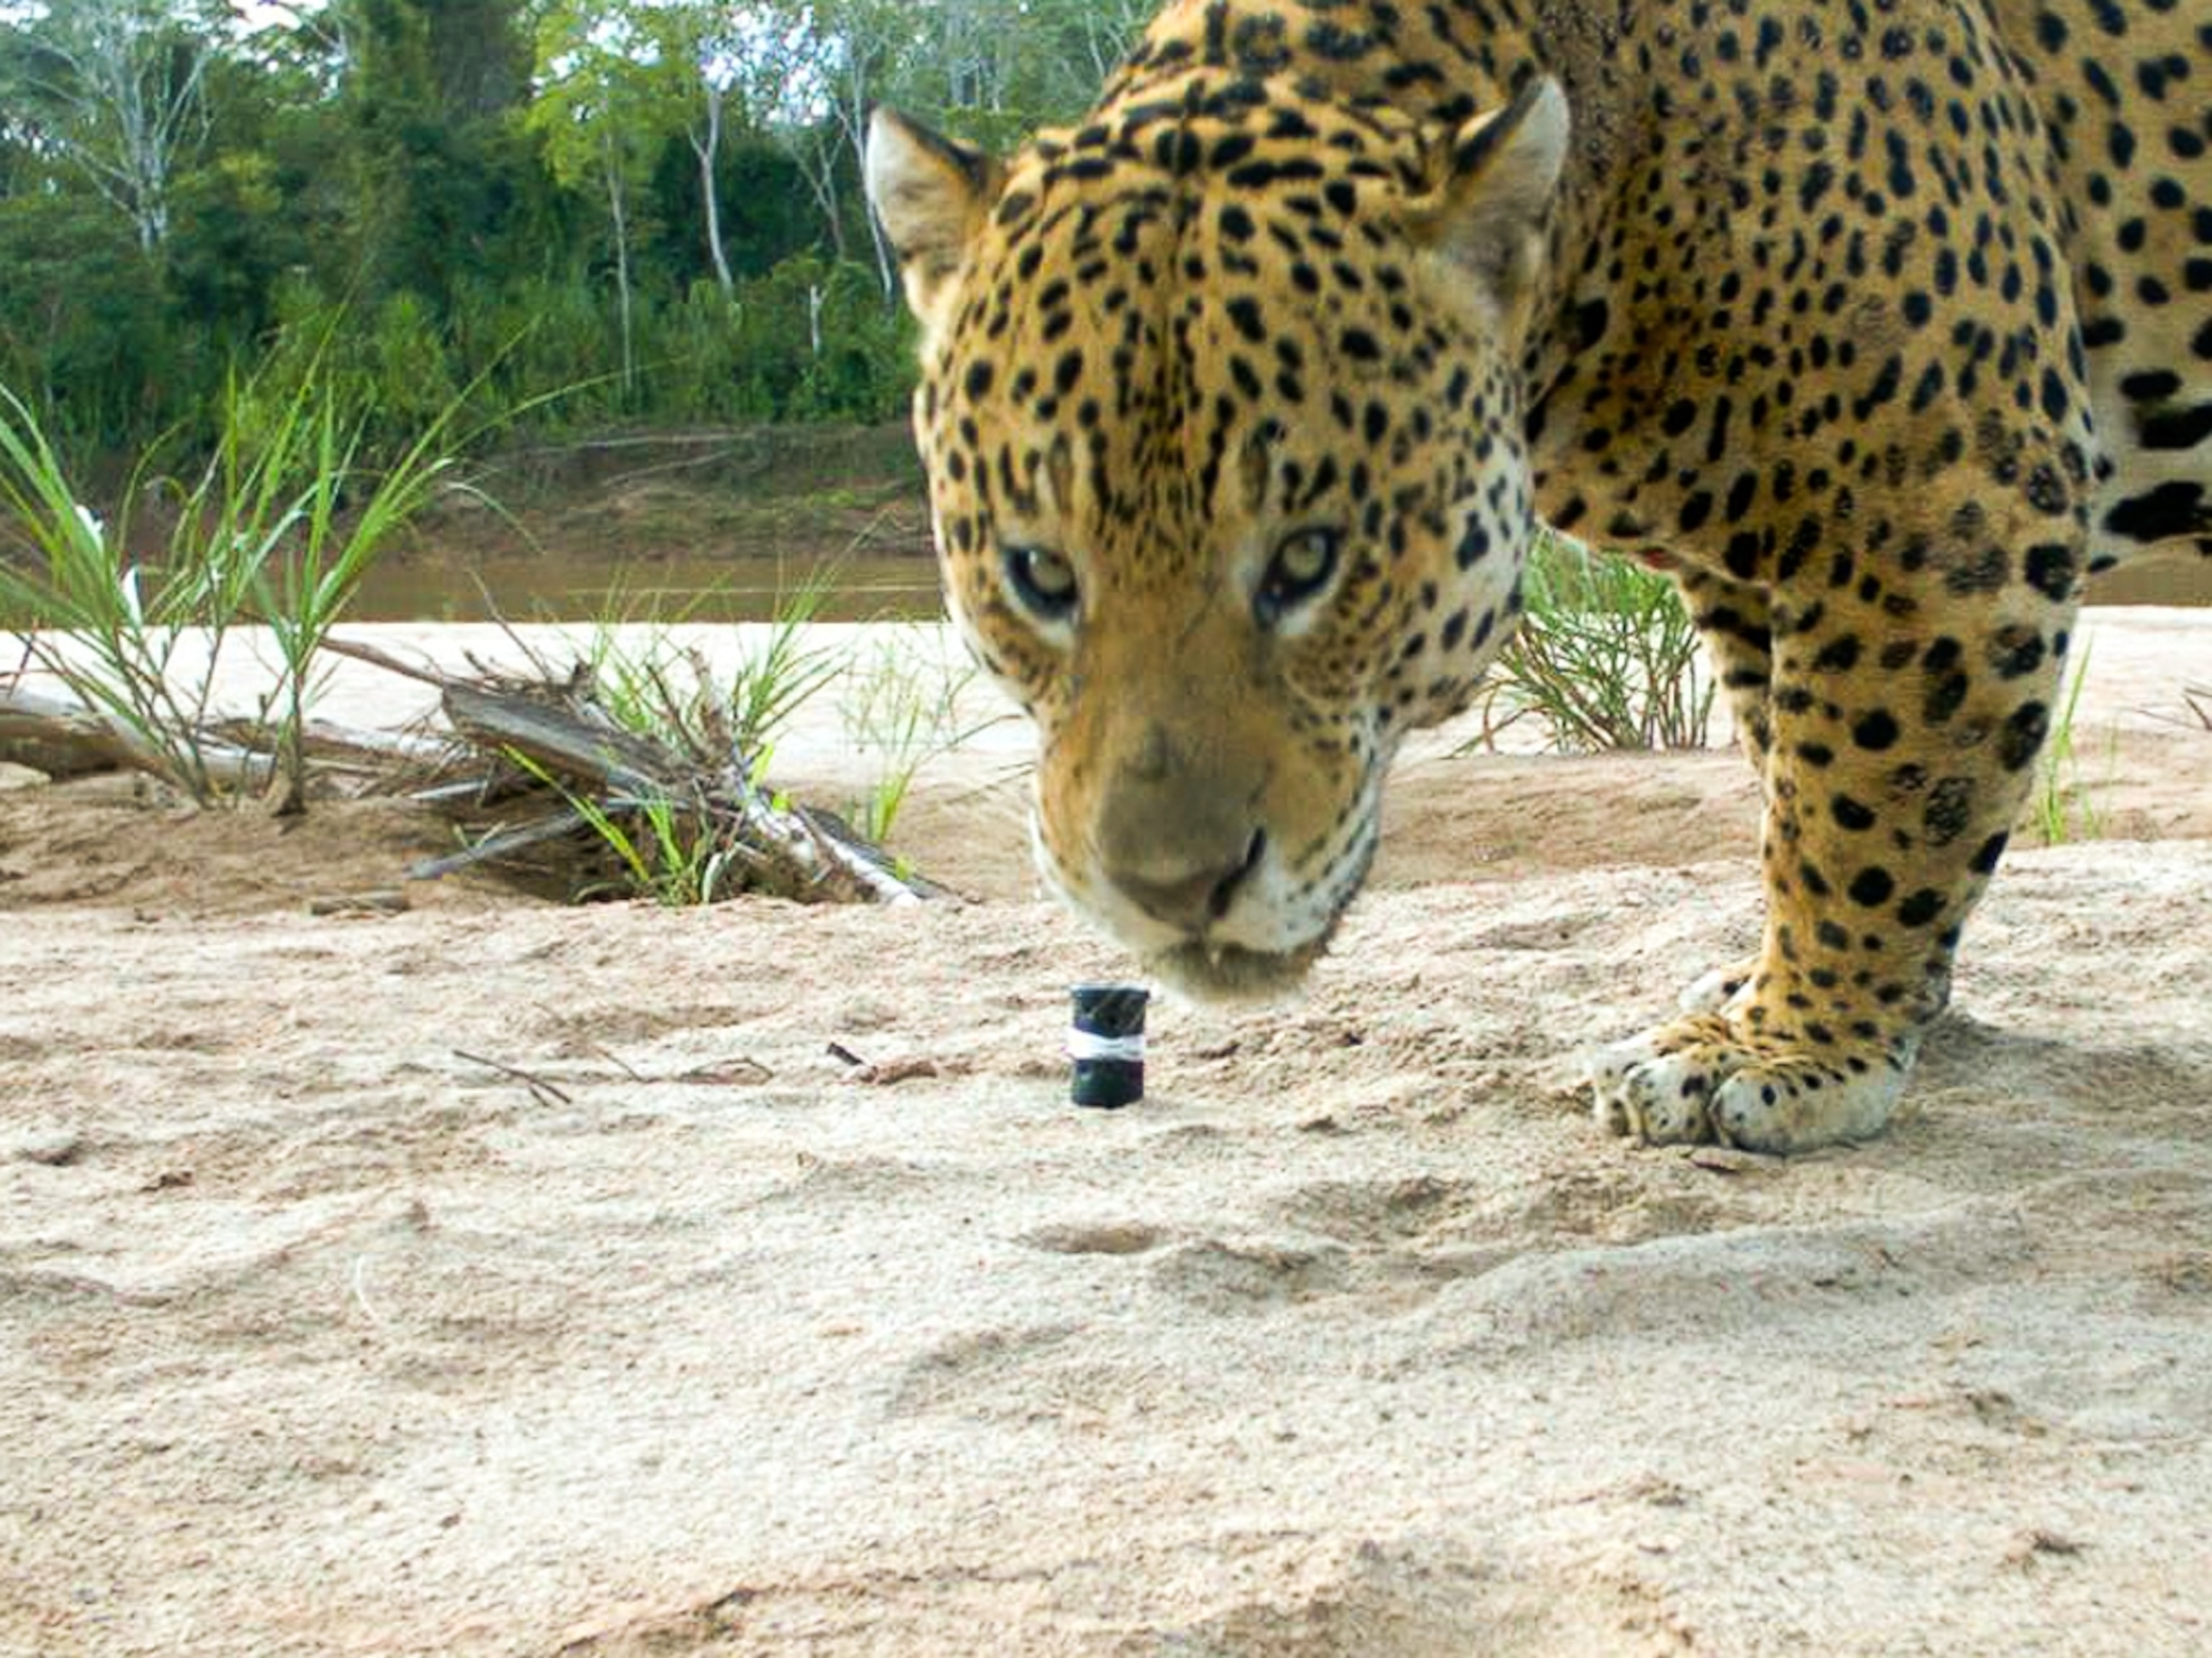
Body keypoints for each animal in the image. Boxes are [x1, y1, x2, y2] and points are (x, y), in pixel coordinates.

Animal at [863, 0, 2212, 1153]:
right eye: (1040, 573)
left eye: (1307, 557)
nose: (1172, 891)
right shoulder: (1754, 564)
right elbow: (1797, 765)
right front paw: (1833, 996)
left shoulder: (1935, 490)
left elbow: (1868, 792)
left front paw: (1788, 1049)